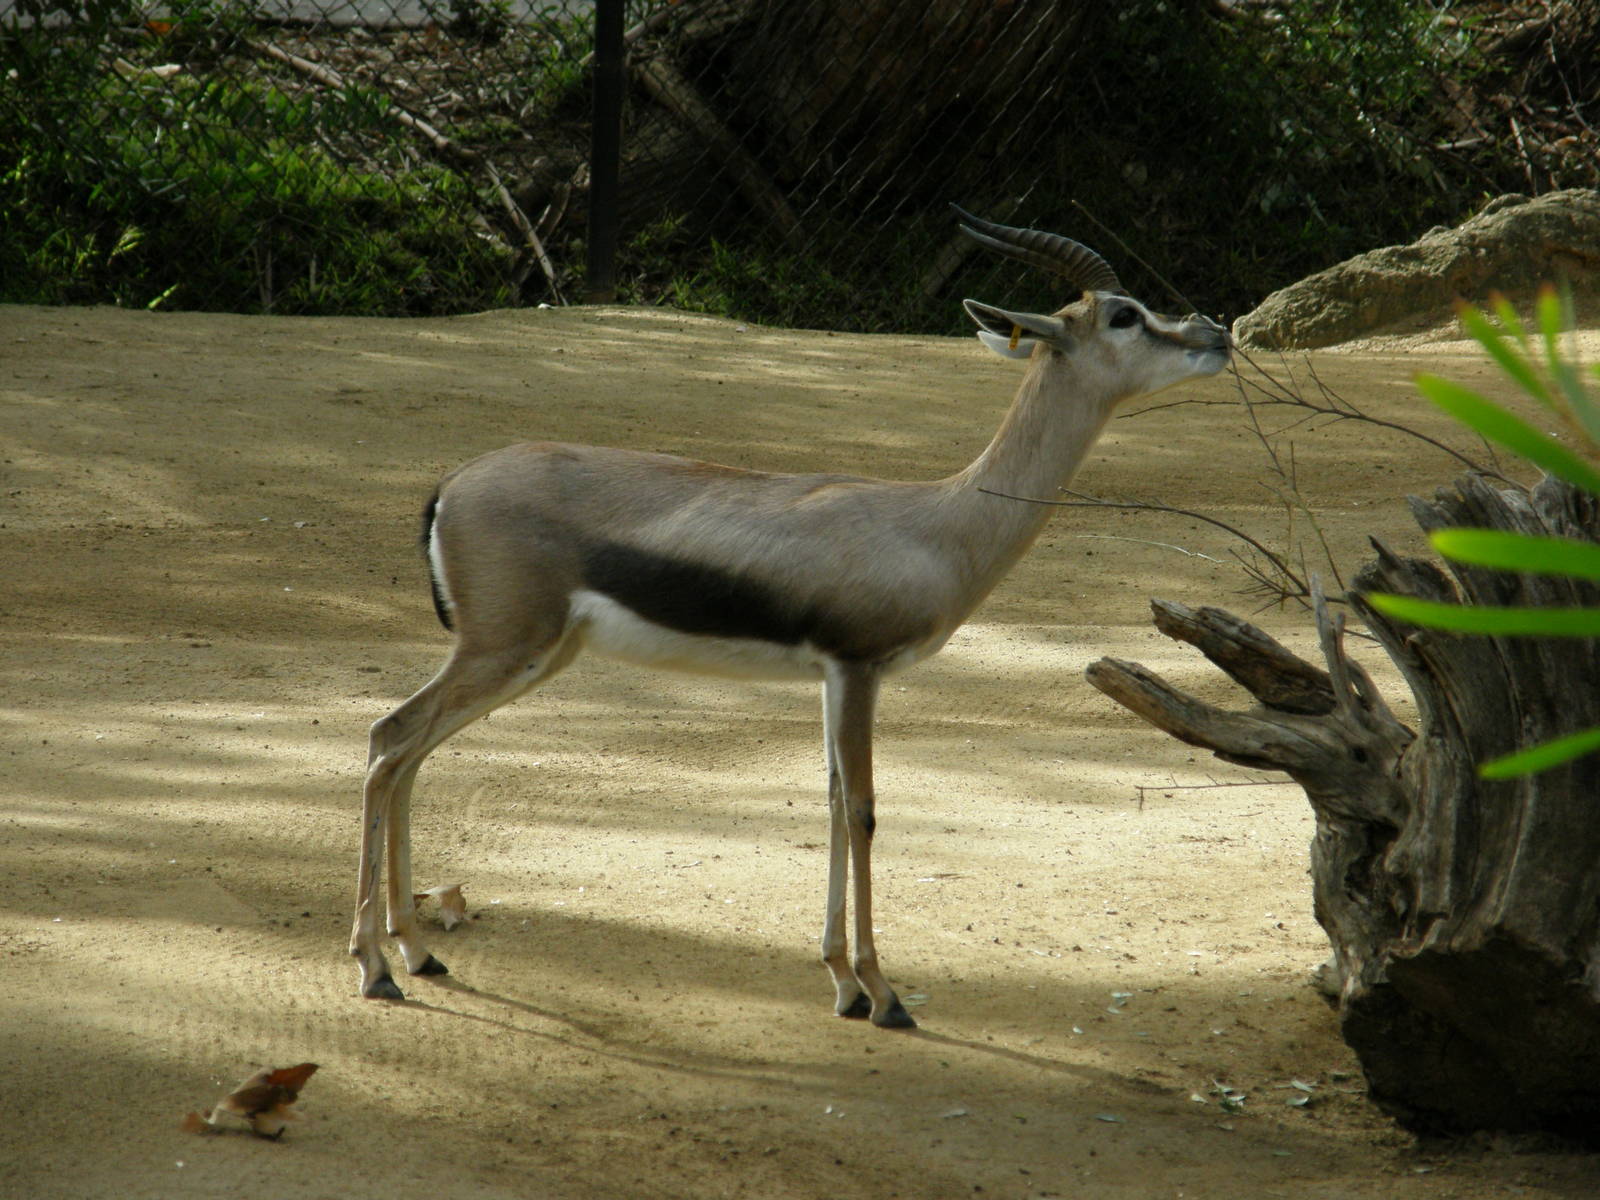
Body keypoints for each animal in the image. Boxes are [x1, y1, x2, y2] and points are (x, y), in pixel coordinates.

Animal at [350, 209, 1231, 1027]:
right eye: (1124, 314)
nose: (1215, 332)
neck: (940, 523)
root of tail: (452, 483)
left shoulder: (831, 678)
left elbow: (834, 803)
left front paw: (842, 984)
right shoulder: (858, 667)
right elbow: (865, 810)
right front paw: (885, 994)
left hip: (533, 656)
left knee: (408, 753)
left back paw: (418, 951)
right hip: (504, 650)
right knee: (391, 739)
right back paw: (377, 967)